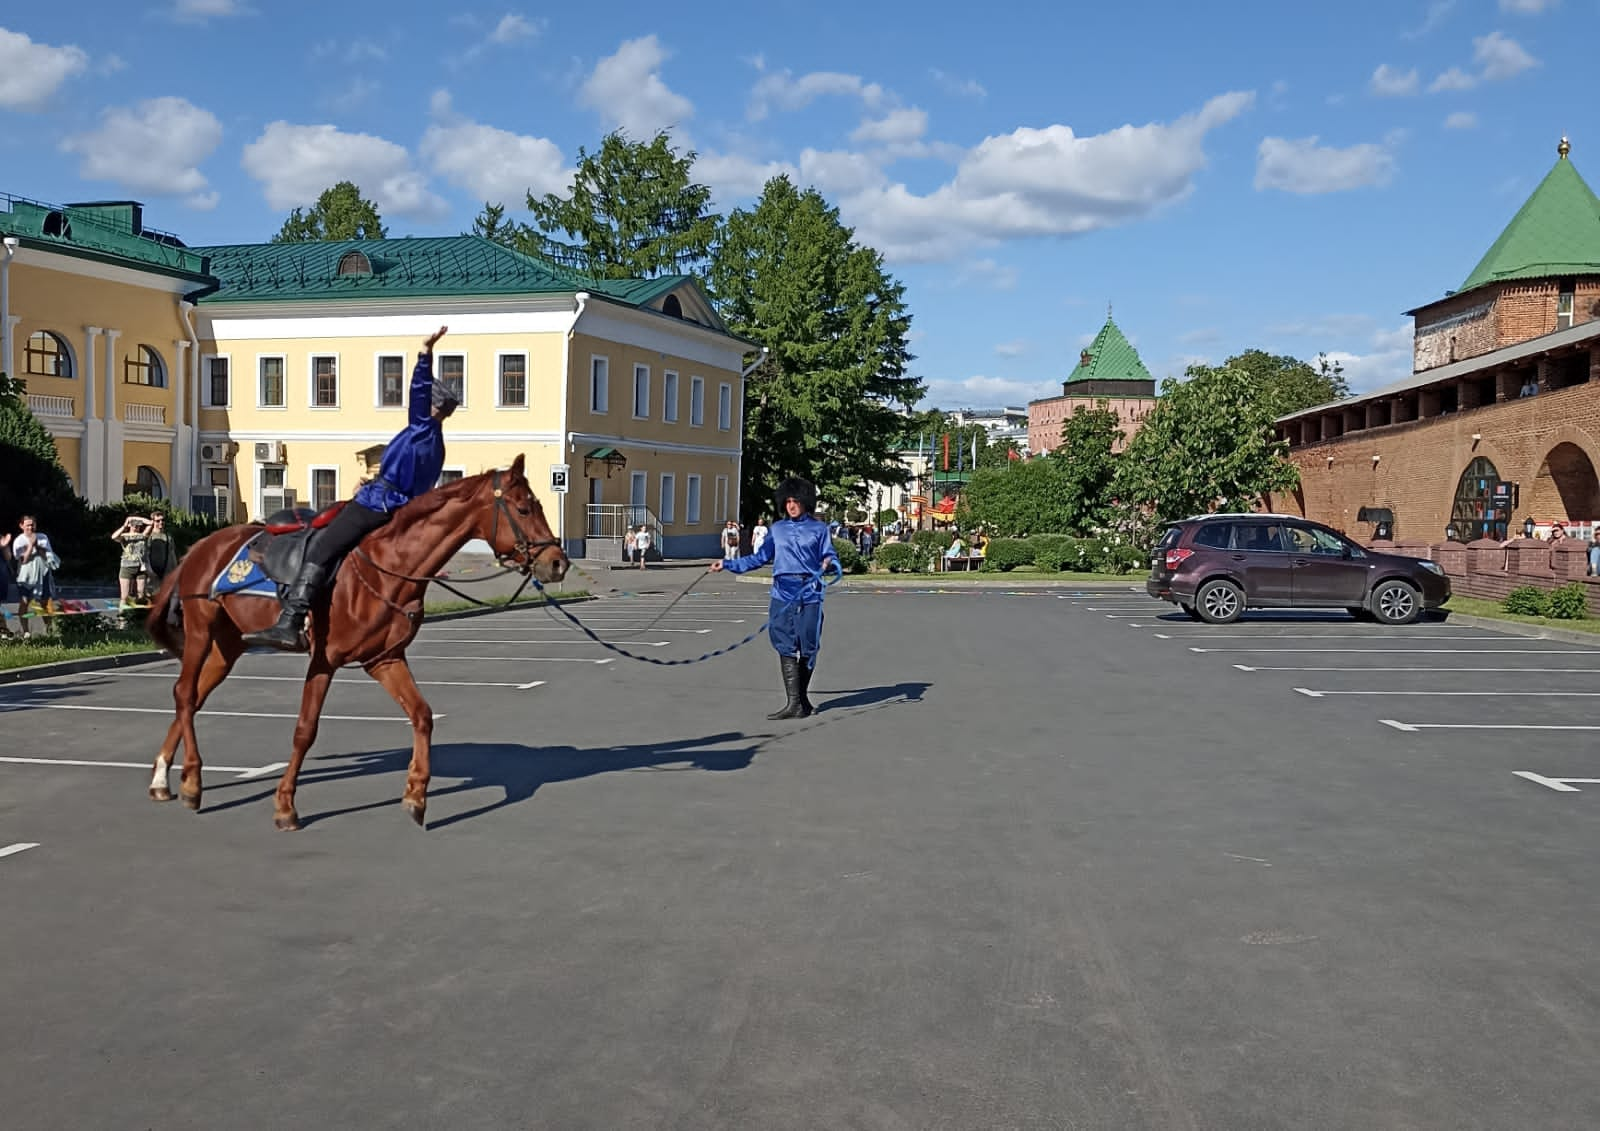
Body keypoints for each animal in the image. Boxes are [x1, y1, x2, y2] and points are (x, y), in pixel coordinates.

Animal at [145, 454, 569, 831]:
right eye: (524, 508)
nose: (558, 562)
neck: (387, 566)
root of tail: (200, 547)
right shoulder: (324, 661)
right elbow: (305, 730)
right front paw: (285, 806)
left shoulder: (384, 659)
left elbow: (422, 715)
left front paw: (416, 795)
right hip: (201, 633)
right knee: (185, 693)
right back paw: (191, 781)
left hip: (227, 646)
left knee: (193, 697)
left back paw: (165, 778)